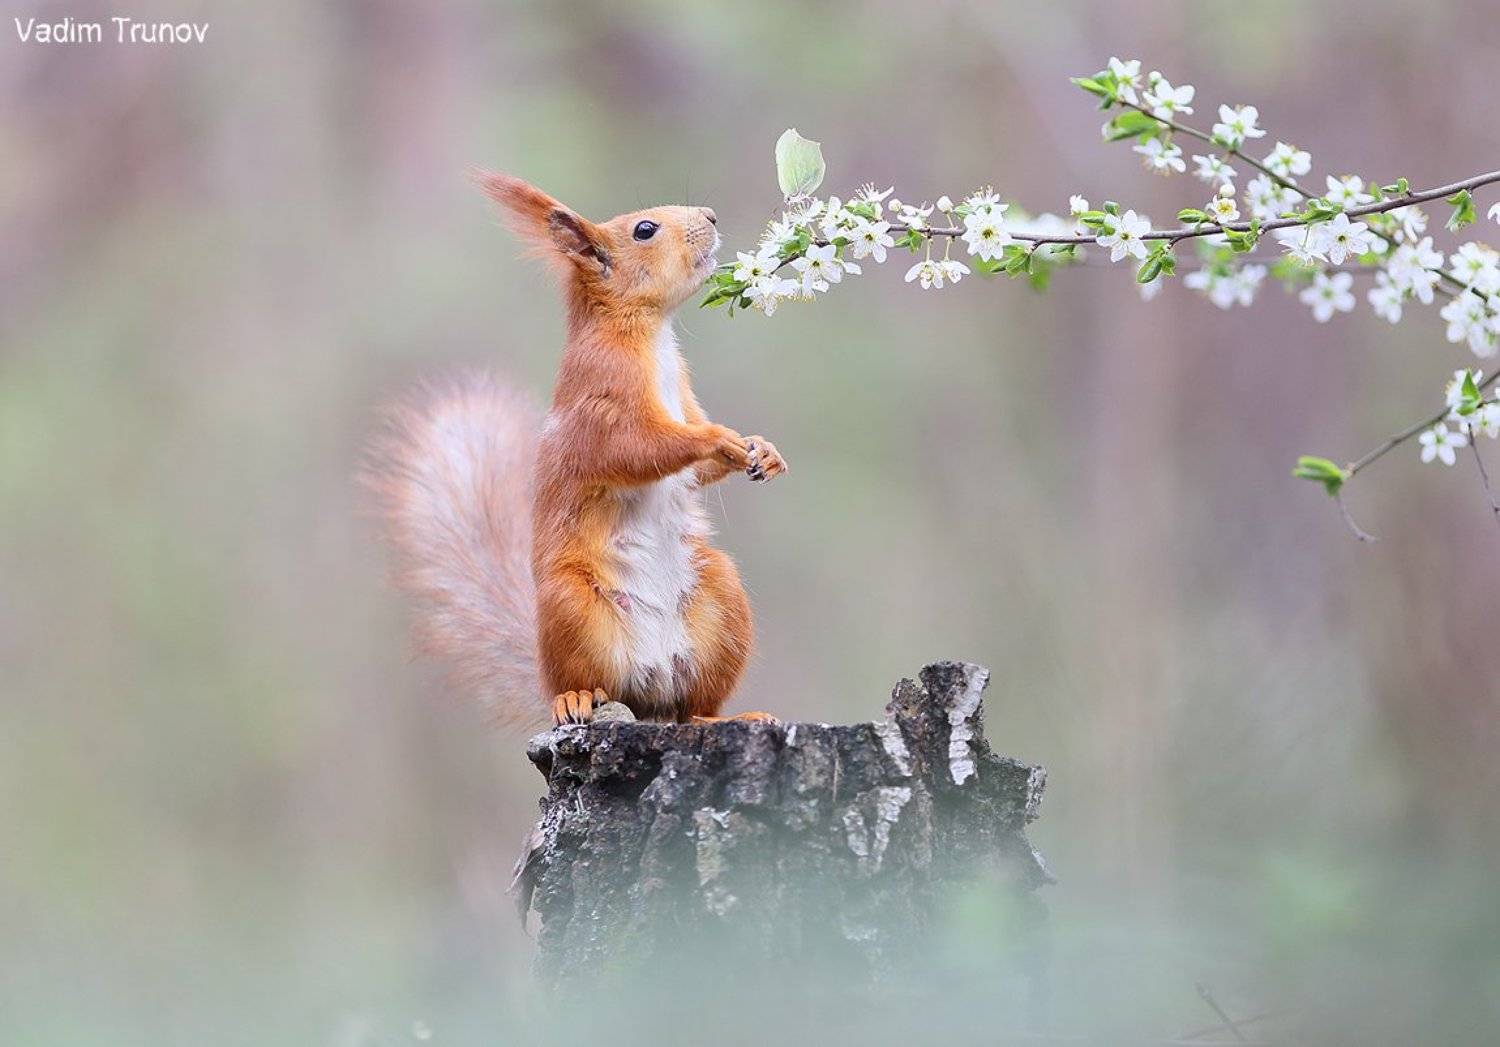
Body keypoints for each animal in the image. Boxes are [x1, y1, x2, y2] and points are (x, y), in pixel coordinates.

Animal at [367, 173, 785, 729]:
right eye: (644, 230)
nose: (712, 216)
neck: (647, 332)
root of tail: (649, 688)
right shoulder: (600, 396)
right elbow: (633, 451)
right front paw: (717, 439)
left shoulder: (682, 391)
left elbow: (694, 470)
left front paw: (762, 449)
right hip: (571, 606)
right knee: (580, 681)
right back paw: (575, 698)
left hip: (720, 595)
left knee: (693, 710)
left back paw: (731, 718)